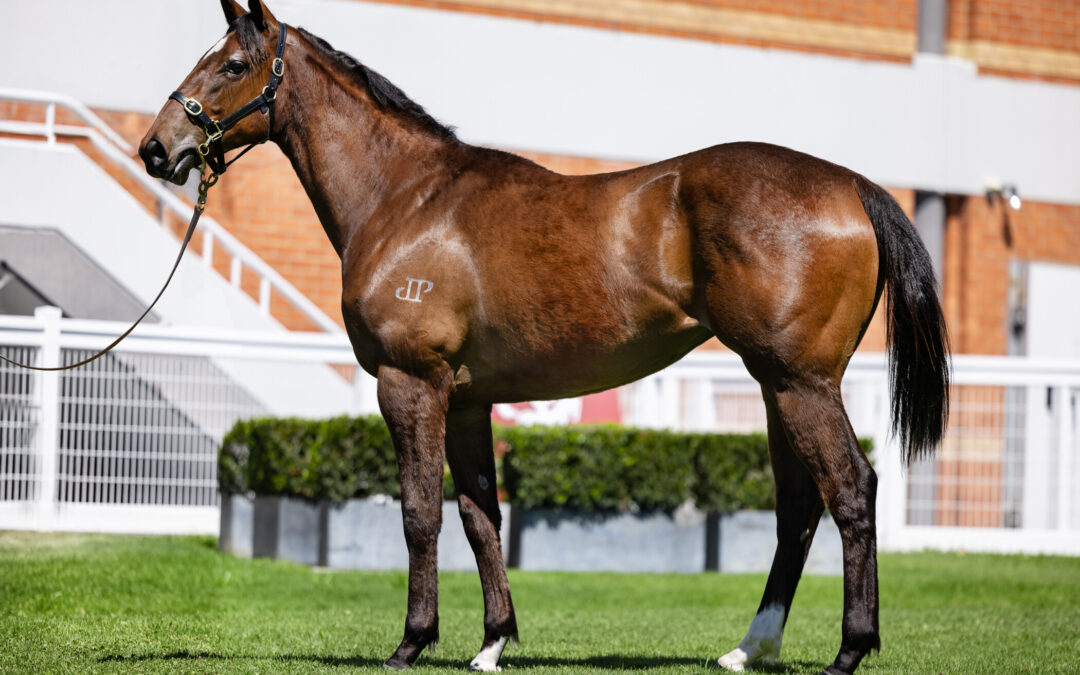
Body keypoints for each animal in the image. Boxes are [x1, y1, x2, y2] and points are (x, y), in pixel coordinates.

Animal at [139, 2, 950, 669]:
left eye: (232, 65)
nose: (156, 148)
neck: (405, 197)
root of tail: (852, 186)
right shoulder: (466, 399)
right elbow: (480, 516)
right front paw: (492, 642)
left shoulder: (411, 383)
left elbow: (419, 513)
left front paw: (412, 641)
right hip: (777, 384)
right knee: (799, 508)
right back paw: (750, 648)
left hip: (798, 382)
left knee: (851, 490)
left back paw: (850, 649)